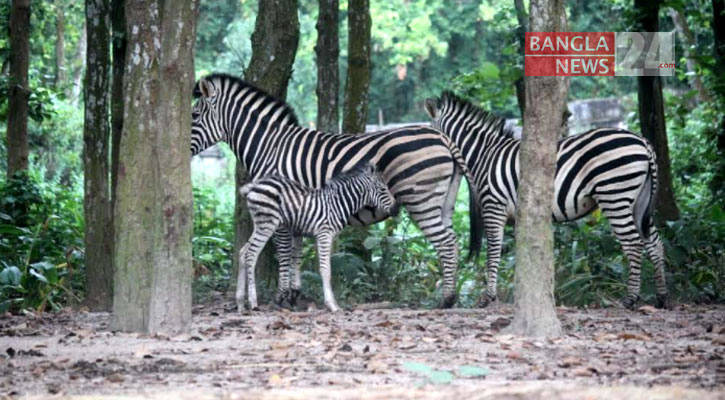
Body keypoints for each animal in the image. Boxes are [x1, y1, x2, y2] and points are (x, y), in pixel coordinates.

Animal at [236, 163, 396, 312]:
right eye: (383, 190)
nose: (395, 209)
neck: (337, 204)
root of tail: (255, 186)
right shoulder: (324, 234)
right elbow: (326, 269)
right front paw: (332, 305)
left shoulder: (327, 237)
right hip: (268, 224)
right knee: (251, 254)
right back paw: (253, 302)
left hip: (259, 224)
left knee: (243, 252)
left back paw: (240, 302)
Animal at [424, 91, 668, 310]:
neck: (485, 155)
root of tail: (643, 142)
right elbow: (520, 252)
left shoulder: (494, 207)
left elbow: (493, 251)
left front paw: (487, 298)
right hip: (638, 201)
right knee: (654, 242)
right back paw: (661, 298)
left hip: (615, 195)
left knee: (634, 244)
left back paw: (630, 300)